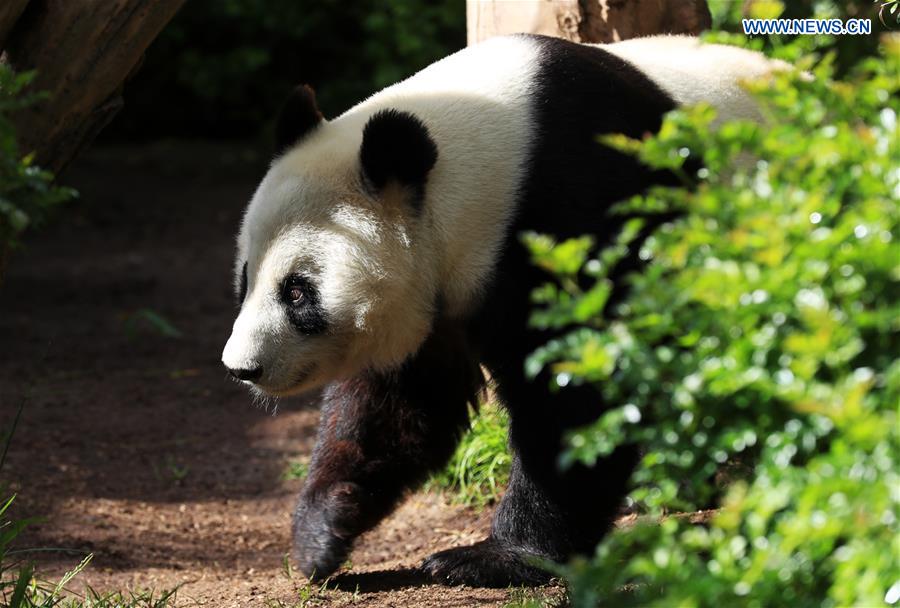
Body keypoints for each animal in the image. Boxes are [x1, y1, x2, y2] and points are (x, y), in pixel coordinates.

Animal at [220, 34, 788, 588]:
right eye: (246, 278)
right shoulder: (436, 299)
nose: (243, 368)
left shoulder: (574, 211)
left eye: (297, 292)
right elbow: (397, 404)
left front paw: (494, 557)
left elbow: (576, 390)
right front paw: (321, 533)